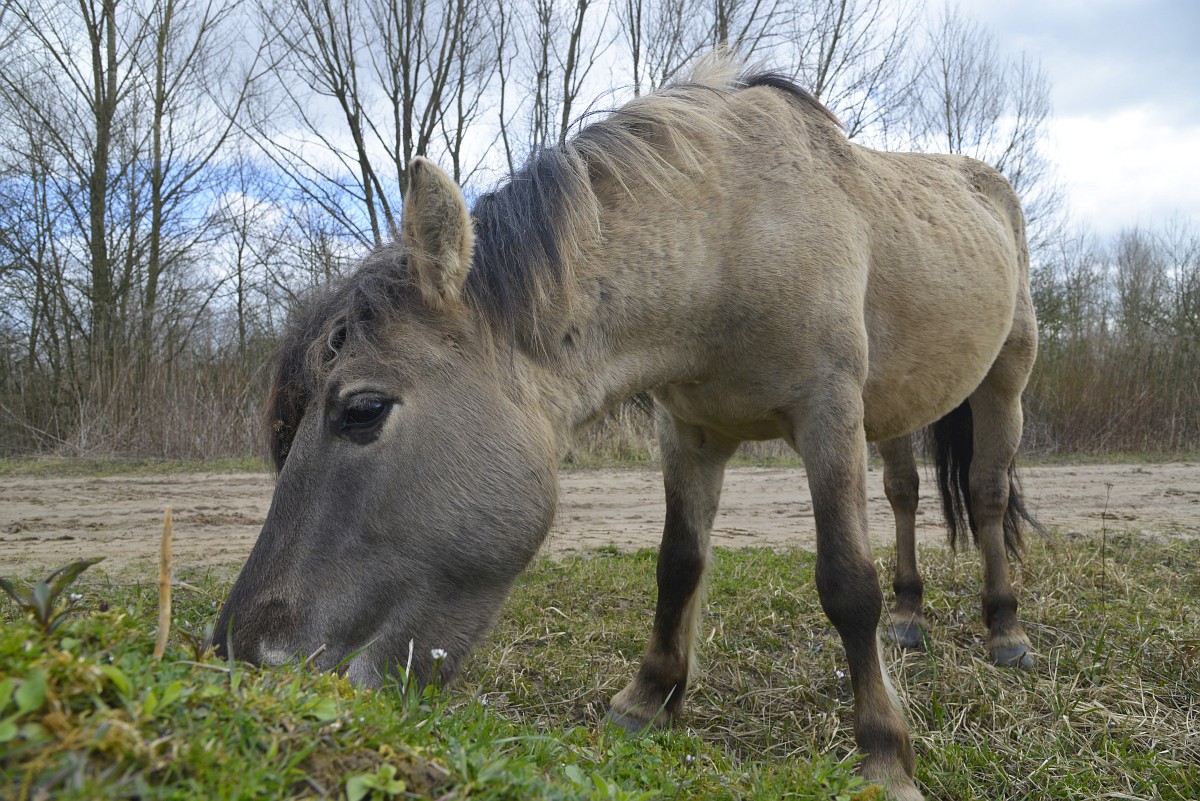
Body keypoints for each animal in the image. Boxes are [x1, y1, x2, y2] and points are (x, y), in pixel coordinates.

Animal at [212, 56, 1043, 801]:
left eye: (362, 409)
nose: (238, 656)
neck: (734, 234)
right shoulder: (691, 430)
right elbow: (678, 565)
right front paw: (648, 698)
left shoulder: (828, 415)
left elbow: (845, 583)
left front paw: (884, 754)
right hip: (898, 409)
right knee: (905, 494)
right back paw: (909, 618)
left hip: (1004, 384)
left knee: (987, 494)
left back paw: (1005, 629)